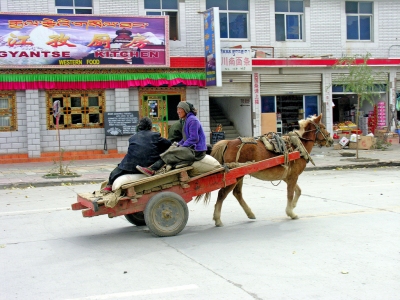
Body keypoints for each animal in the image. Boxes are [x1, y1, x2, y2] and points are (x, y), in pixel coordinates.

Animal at [198, 113, 332, 226]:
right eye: (323, 127)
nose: (330, 140)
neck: (297, 146)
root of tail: (228, 142)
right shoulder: (293, 176)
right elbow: (290, 194)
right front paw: (291, 212)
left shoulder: (287, 177)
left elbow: (298, 191)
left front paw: (293, 206)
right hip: (235, 175)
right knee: (222, 194)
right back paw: (217, 219)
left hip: (239, 174)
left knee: (237, 193)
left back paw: (250, 213)